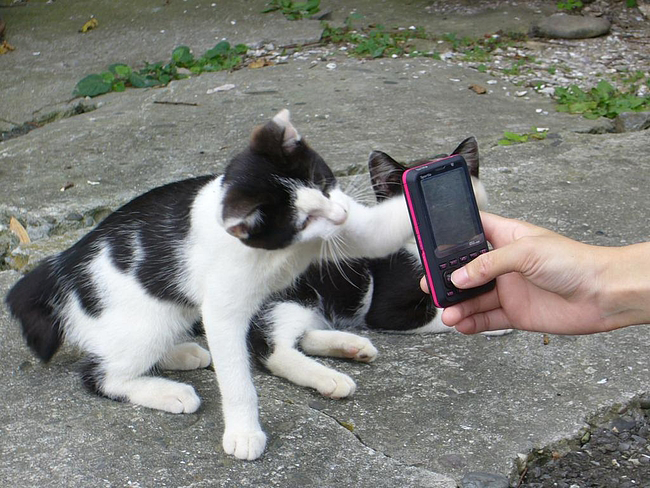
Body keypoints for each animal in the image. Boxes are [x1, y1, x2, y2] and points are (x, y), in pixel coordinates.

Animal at [5, 108, 410, 460]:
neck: (280, 249)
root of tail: (65, 261)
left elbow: (384, 230)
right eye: (304, 219)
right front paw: (244, 433)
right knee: (99, 374)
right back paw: (169, 391)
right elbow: (236, 375)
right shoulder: (222, 310)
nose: (341, 215)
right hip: (144, 316)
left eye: (324, 184)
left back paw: (183, 353)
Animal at [249, 135, 502, 398]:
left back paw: (353, 346)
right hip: (294, 291)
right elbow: (440, 313)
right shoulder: (388, 308)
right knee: (269, 347)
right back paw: (331, 379)